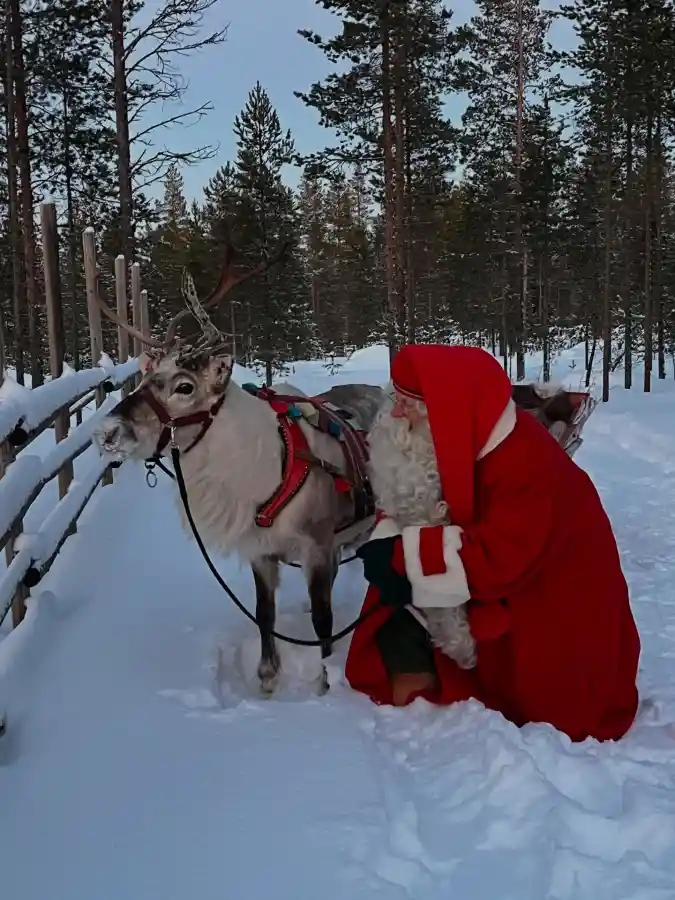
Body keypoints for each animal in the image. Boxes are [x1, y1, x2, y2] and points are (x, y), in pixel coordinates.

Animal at [93, 246, 385, 697]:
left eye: (184, 386)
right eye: (144, 378)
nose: (107, 431)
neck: (255, 477)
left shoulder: (317, 546)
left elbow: (323, 621)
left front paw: (325, 682)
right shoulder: (261, 551)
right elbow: (264, 612)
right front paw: (267, 678)